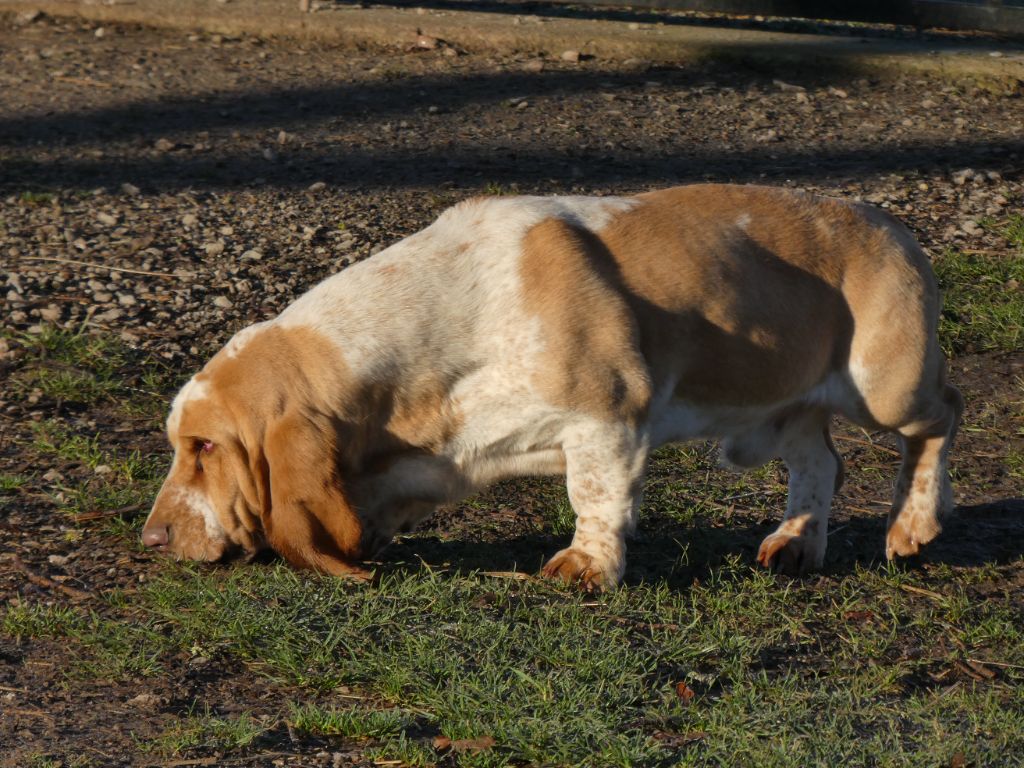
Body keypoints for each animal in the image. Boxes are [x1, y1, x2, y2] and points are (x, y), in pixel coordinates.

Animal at [142, 186, 958, 589]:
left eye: (205, 447)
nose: (151, 539)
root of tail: (887, 222)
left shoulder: (608, 418)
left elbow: (593, 495)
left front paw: (587, 568)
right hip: (772, 417)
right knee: (821, 462)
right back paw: (795, 543)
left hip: (885, 386)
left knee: (942, 416)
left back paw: (913, 527)